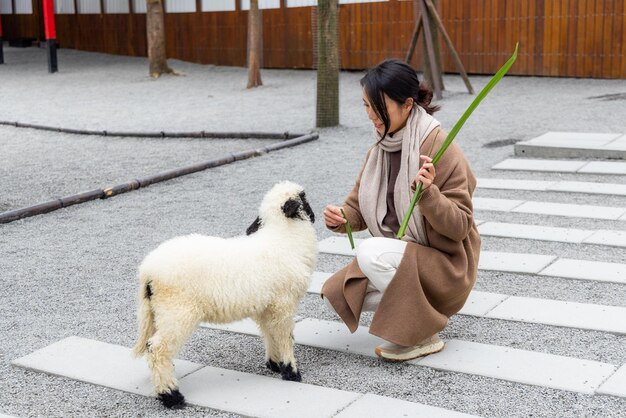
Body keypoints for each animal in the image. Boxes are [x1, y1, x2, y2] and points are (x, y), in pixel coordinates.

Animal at [132, 180, 316, 408]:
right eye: (304, 198)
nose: (315, 216)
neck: (283, 238)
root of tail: (147, 271)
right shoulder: (283, 304)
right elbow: (285, 337)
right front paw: (291, 372)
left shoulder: (267, 306)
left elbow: (269, 333)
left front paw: (274, 364)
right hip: (176, 312)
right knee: (157, 349)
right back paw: (171, 396)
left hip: (156, 313)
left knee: (151, 347)